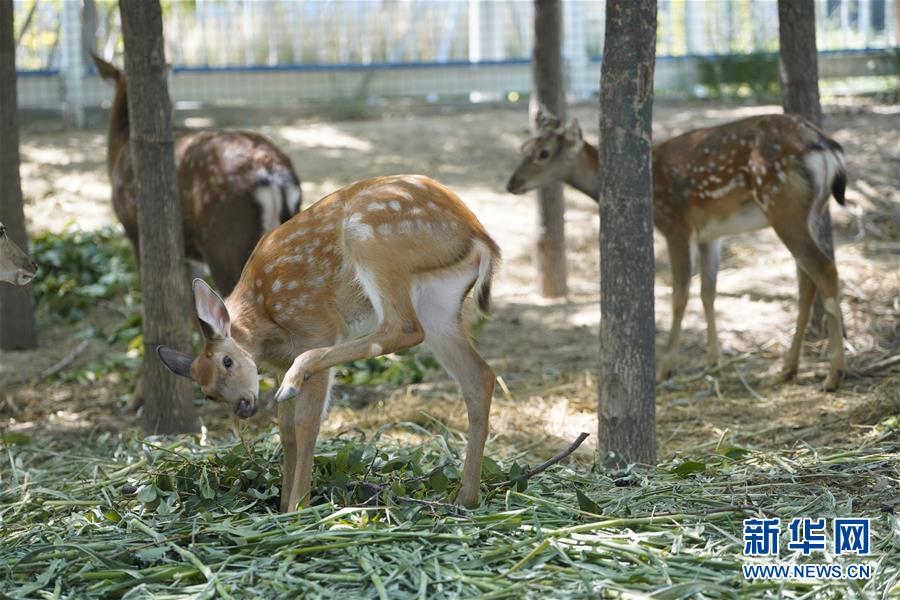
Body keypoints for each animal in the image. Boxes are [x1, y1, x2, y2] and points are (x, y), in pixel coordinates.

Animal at [159, 173, 502, 510]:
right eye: (208, 394)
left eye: (227, 361)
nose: (243, 407)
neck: (265, 324)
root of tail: (480, 235)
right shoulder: (278, 366)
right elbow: (285, 430)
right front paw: (283, 505)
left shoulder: (316, 326)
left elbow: (306, 422)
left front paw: (298, 507)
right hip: (438, 303)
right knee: (479, 376)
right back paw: (465, 498)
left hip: (372, 241)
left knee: (402, 328)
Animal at [510, 108, 848, 392]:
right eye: (523, 147)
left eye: (543, 153)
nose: (511, 183)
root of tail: (827, 147)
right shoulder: (710, 234)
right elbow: (708, 291)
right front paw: (714, 360)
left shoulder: (674, 222)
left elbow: (679, 294)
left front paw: (667, 367)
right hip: (813, 211)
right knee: (807, 279)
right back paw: (788, 369)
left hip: (781, 202)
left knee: (824, 269)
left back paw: (833, 375)